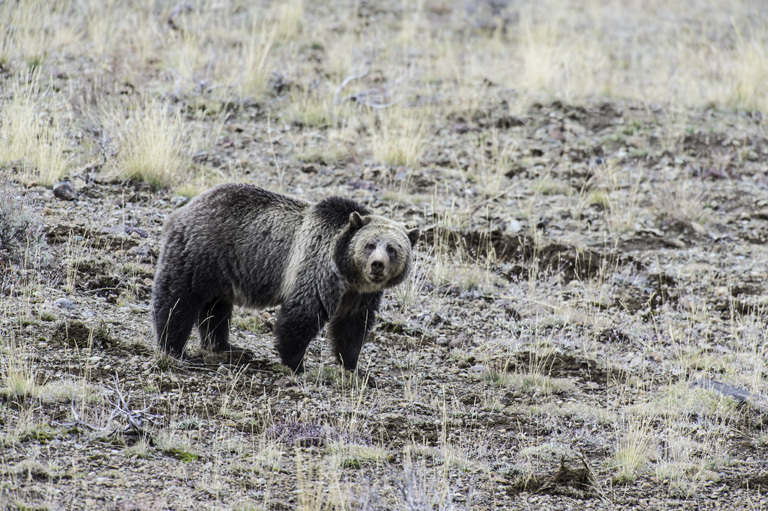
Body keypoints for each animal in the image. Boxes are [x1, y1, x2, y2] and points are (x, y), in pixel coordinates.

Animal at [151, 184, 420, 372]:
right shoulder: (316, 269)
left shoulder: (359, 295)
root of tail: (183, 210)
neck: (347, 273)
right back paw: (175, 349)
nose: (377, 265)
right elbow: (301, 316)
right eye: (370, 244)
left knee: (216, 310)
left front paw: (353, 366)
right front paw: (296, 364)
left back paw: (227, 346)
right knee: (178, 301)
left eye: (392, 248)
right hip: (199, 253)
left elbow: (352, 327)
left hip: (222, 273)